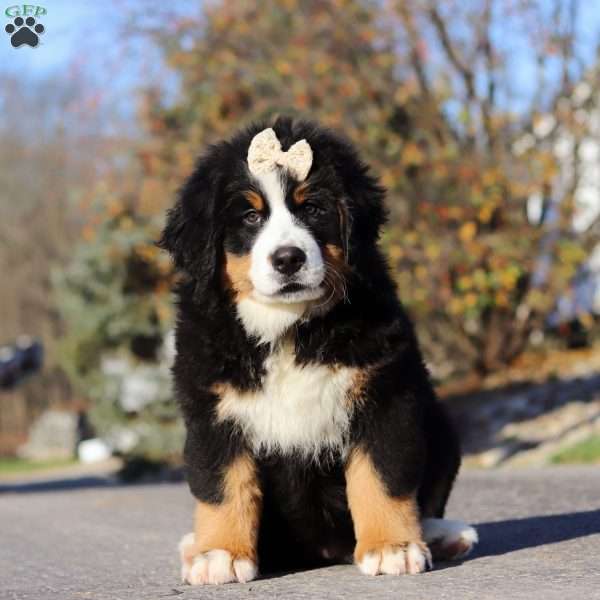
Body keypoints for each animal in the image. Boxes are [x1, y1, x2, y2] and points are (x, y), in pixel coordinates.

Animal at [159, 115, 478, 584]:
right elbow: (223, 487)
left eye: (312, 209)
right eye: (251, 216)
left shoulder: (385, 397)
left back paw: (440, 535)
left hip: (440, 425)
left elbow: (382, 476)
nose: (288, 258)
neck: (290, 328)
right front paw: (220, 554)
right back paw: (192, 546)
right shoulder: (213, 413)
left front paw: (393, 547)